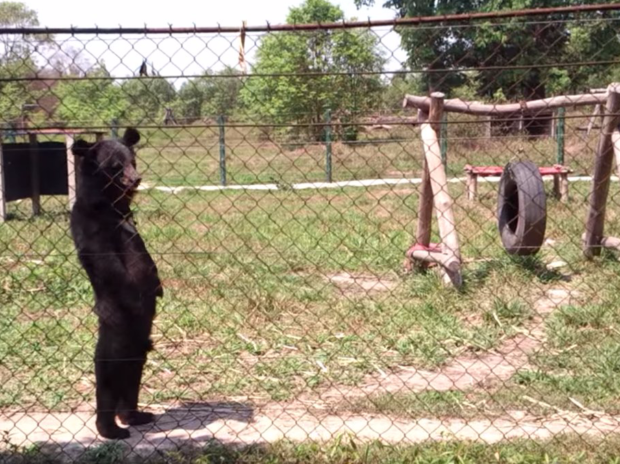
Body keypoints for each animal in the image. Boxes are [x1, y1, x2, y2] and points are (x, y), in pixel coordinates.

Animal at [69, 127, 165, 438]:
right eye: (115, 166)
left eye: (132, 160)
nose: (136, 178)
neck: (113, 206)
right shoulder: (93, 226)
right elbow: (110, 264)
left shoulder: (130, 225)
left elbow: (147, 260)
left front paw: (160, 287)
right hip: (117, 320)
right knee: (110, 364)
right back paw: (111, 428)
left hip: (141, 332)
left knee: (136, 361)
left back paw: (135, 415)